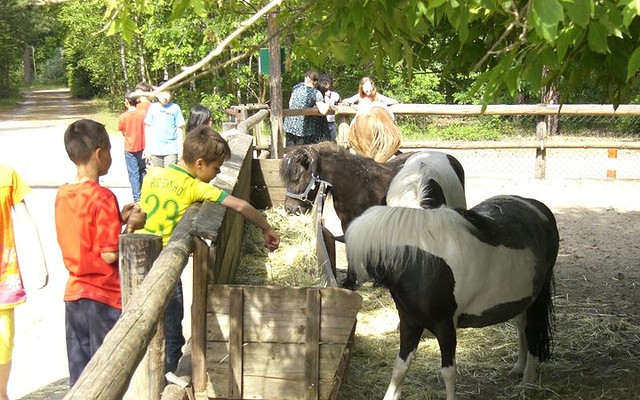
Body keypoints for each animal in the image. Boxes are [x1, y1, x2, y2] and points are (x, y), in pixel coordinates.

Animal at [342, 196, 556, 400]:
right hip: (522, 301)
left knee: (532, 333)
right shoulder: (410, 322)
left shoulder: (445, 326)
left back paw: (528, 382)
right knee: (522, 326)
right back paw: (518, 368)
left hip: (537, 301)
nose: (347, 284)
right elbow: (399, 367)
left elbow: (448, 372)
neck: (420, 264)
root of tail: (540, 209)